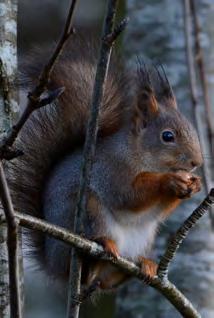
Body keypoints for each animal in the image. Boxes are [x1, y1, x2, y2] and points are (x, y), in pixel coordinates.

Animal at [7, 39, 202, 290]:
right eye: (167, 136)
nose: (197, 162)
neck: (140, 154)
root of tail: (53, 264)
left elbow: (159, 210)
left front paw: (194, 185)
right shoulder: (110, 170)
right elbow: (128, 195)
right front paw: (169, 181)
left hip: (144, 237)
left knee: (106, 283)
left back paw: (144, 265)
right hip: (90, 212)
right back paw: (101, 249)